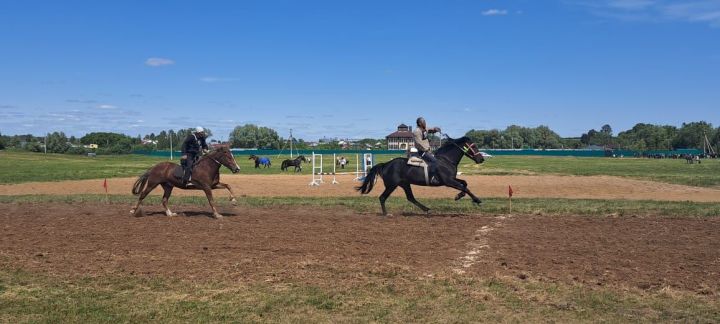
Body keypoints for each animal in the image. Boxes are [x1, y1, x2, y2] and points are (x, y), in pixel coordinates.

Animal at [358, 136, 486, 215]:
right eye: (474, 146)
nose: (481, 159)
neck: (446, 160)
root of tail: (385, 164)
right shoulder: (448, 181)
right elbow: (465, 187)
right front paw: (476, 199)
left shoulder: (452, 179)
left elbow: (464, 183)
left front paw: (459, 195)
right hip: (391, 185)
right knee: (382, 197)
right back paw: (386, 214)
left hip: (405, 184)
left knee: (410, 198)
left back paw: (427, 209)